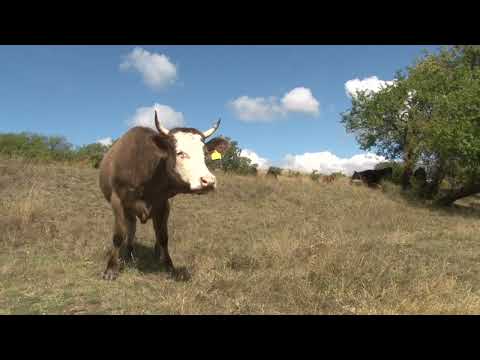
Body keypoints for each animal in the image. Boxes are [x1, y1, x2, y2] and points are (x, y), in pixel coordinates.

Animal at [98, 111, 230, 280]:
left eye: (205, 154)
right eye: (180, 153)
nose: (209, 181)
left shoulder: (163, 204)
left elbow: (163, 237)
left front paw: (169, 266)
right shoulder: (117, 200)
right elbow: (119, 235)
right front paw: (111, 269)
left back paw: (155, 255)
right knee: (131, 229)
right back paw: (128, 254)